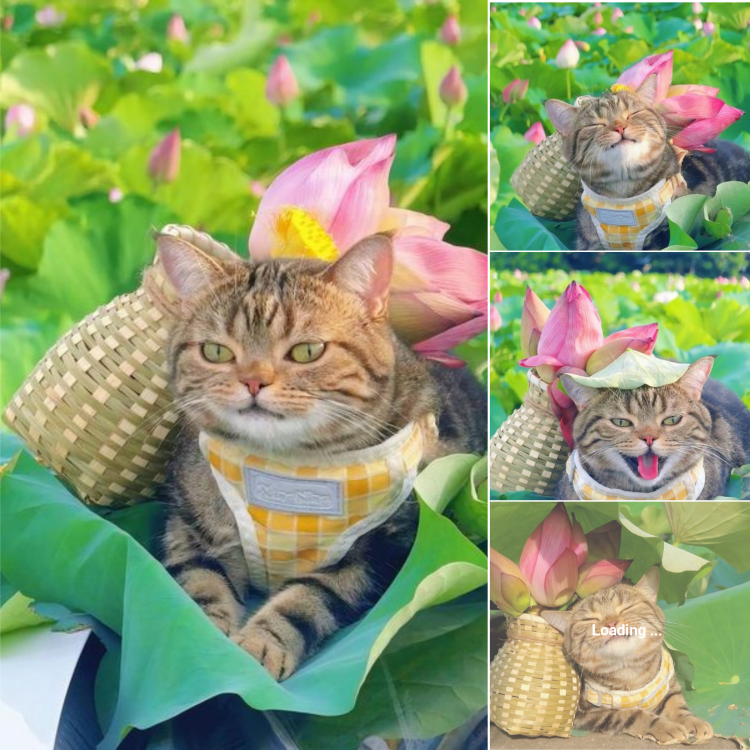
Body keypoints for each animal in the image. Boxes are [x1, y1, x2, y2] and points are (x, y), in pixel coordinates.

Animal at [156, 232, 490, 680]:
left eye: (307, 351)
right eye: (216, 352)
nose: (253, 381)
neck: (282, 467)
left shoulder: (373, 557)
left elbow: (303, 603)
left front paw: (259, 646)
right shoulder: (190, 533)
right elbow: (199, 590)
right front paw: (207, 650)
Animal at [544, 568, 712, 748]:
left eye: (627, 607)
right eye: (589, 619)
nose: (611, 623)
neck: (632, 673)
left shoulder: (670, 685)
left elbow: (677, 704)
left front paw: (692, 721)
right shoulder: (585, 714)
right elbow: (632, 714)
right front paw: (666, 727)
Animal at [548, 73, 750, 251]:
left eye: (633, 113)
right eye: (595, 124)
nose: (620, 127)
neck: (622, 194)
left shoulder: (675, 229)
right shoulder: (587, 241)